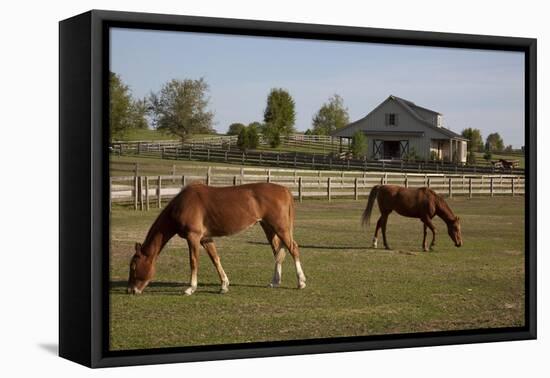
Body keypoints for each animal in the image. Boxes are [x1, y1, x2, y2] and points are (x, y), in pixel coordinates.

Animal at [128, 182, 308, 296]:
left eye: (134, 267)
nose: (130, 290)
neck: (182, 204)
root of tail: (285, 190)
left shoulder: (193, 237)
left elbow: (193, 262)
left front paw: (190, 288)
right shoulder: (206, 239)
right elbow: (215, 259)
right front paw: (224, 285)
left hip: (280, 227)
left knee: (293, 248)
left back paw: (301, 282)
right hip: (268, 228)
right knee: (278, 251)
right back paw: (275, 281)